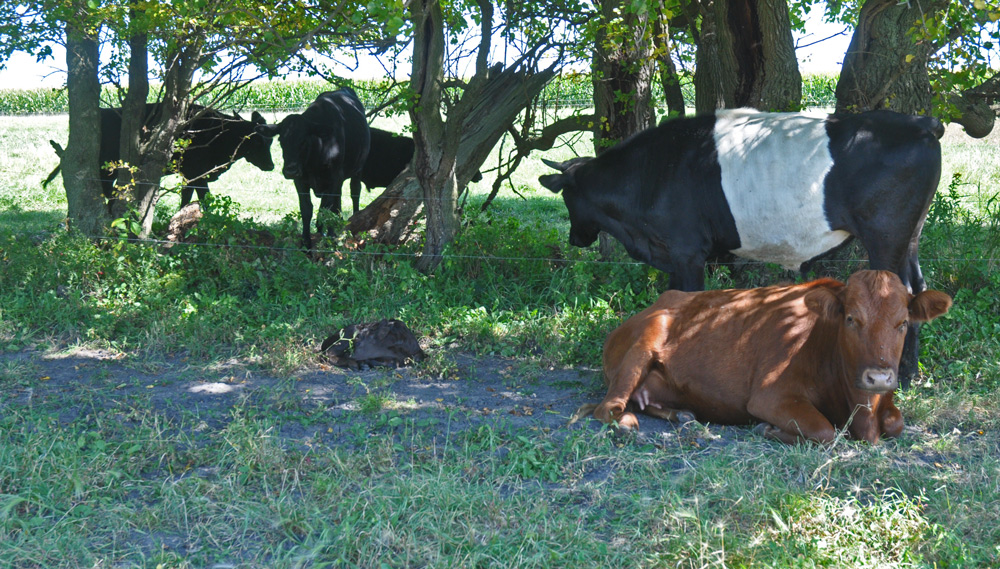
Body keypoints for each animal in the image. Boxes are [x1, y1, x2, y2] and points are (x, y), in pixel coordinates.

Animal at [44, 103, 274, 208]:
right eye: (258, 142)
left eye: (271, 141)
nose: (271, 166)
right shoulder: (196, 173)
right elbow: (202, 197)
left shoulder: (190, 174)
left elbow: (188, 197)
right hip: (106, 170)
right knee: (106, 191)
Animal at [256, 88, 370, 249]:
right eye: (281, 140)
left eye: (303, 140)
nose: (290, 170)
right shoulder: (300, 180)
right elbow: (307, 208)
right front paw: (306, 241)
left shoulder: (334, 177)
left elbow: (329, 207)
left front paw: (331, 236)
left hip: (357, 169)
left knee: (354, 192)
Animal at [539, 108, 945, 387]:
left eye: (567, 197)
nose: (575, 238)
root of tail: (922, 122)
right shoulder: (675, 255)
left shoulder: (687, 253)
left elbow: (687, 303)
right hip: (909, 238)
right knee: (917, 288)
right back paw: (908, 374)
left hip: (885, 236)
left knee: (898, 293)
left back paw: (895, 377)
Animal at [576, 270, 951, 444]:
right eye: (850, 319)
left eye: (903, 323)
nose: (879, 377)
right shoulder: (770, 395)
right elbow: (825, 431)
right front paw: (769, 429)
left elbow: (896, 423)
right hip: (644, 344)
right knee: (609, 407)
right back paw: (627, 423)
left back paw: (682, 414)